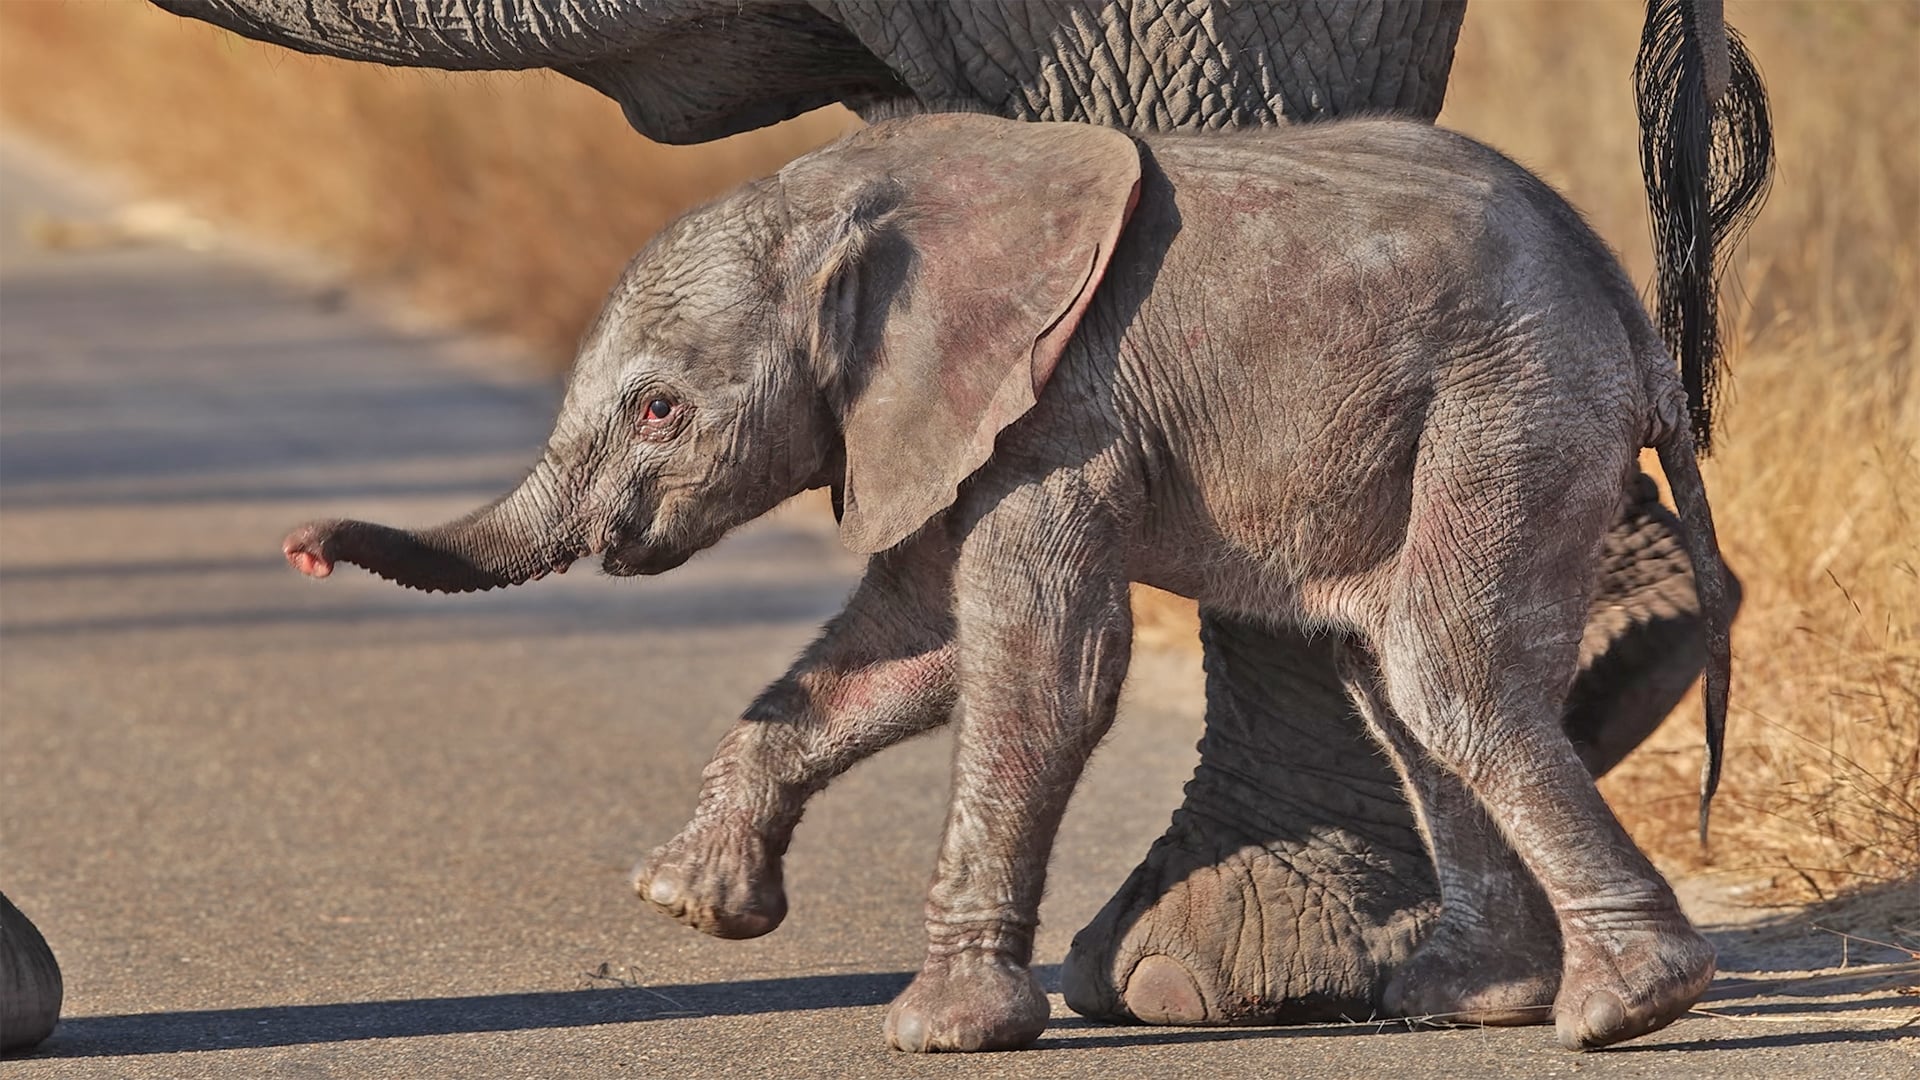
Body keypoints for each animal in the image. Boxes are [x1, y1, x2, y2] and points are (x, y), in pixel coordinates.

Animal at [157, 0, 1773, 1038]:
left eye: (661, 411)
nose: (302, 546)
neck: (861, 196)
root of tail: (1637, 330)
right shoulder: (944, 411)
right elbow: (905, 648)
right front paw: (689, 905)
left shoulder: (1060, 408)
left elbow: (1041, 670)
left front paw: (936, 1029)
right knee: (1400, 680)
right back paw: (1476, 1002)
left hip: (1511, 404)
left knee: (1444, 673)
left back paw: (1628, 1010)